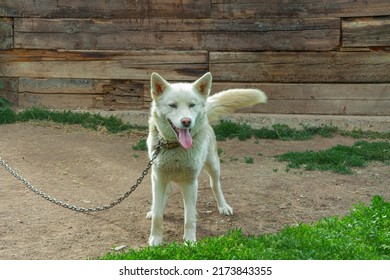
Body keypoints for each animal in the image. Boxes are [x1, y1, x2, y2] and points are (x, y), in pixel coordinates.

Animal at [145, 72, 266, 245]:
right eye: (173, 105)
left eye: (192, 105)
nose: (186, 121)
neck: (176, 147)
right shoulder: (158, 177)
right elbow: (157, 215)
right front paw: (155, 239)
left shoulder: (190, 183)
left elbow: (189, 218)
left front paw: (189, 242)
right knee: (164, 195)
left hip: (213, 166)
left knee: (215, 186)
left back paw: (223, 206)